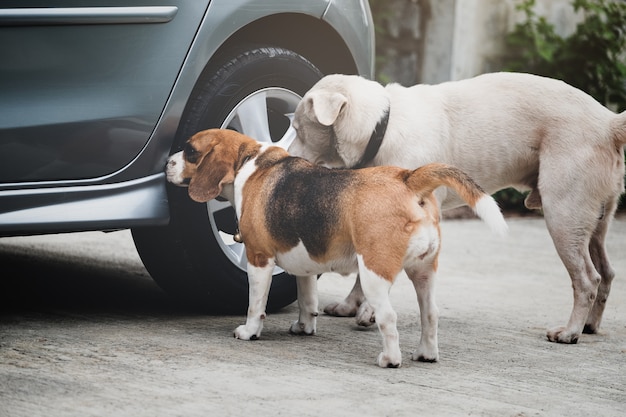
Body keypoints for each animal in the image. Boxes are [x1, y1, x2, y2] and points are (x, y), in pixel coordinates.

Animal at [163, 128, 504, 366]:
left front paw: (249, 332)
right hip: (424, 271)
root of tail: (408, 178)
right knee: (430, 313)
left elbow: (254, 305)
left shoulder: (259, 259)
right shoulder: (303, 265)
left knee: (388, 317)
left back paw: (390, 359)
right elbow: (307, 300)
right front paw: (304, 327)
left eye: (191, 151)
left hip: (373, 274)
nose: (167, 163)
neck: (248, 163)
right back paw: (426, 354)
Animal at [288, 72, 624, 344]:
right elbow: (363, 269)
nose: (285, 155)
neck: (381, 127)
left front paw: (369, 311)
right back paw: (590, 326)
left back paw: (570, 332)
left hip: (563, 215)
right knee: (607, 272)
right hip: (594, 220)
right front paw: (351, 305)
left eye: (298, 128)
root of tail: (608, 123)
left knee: (588, 279)